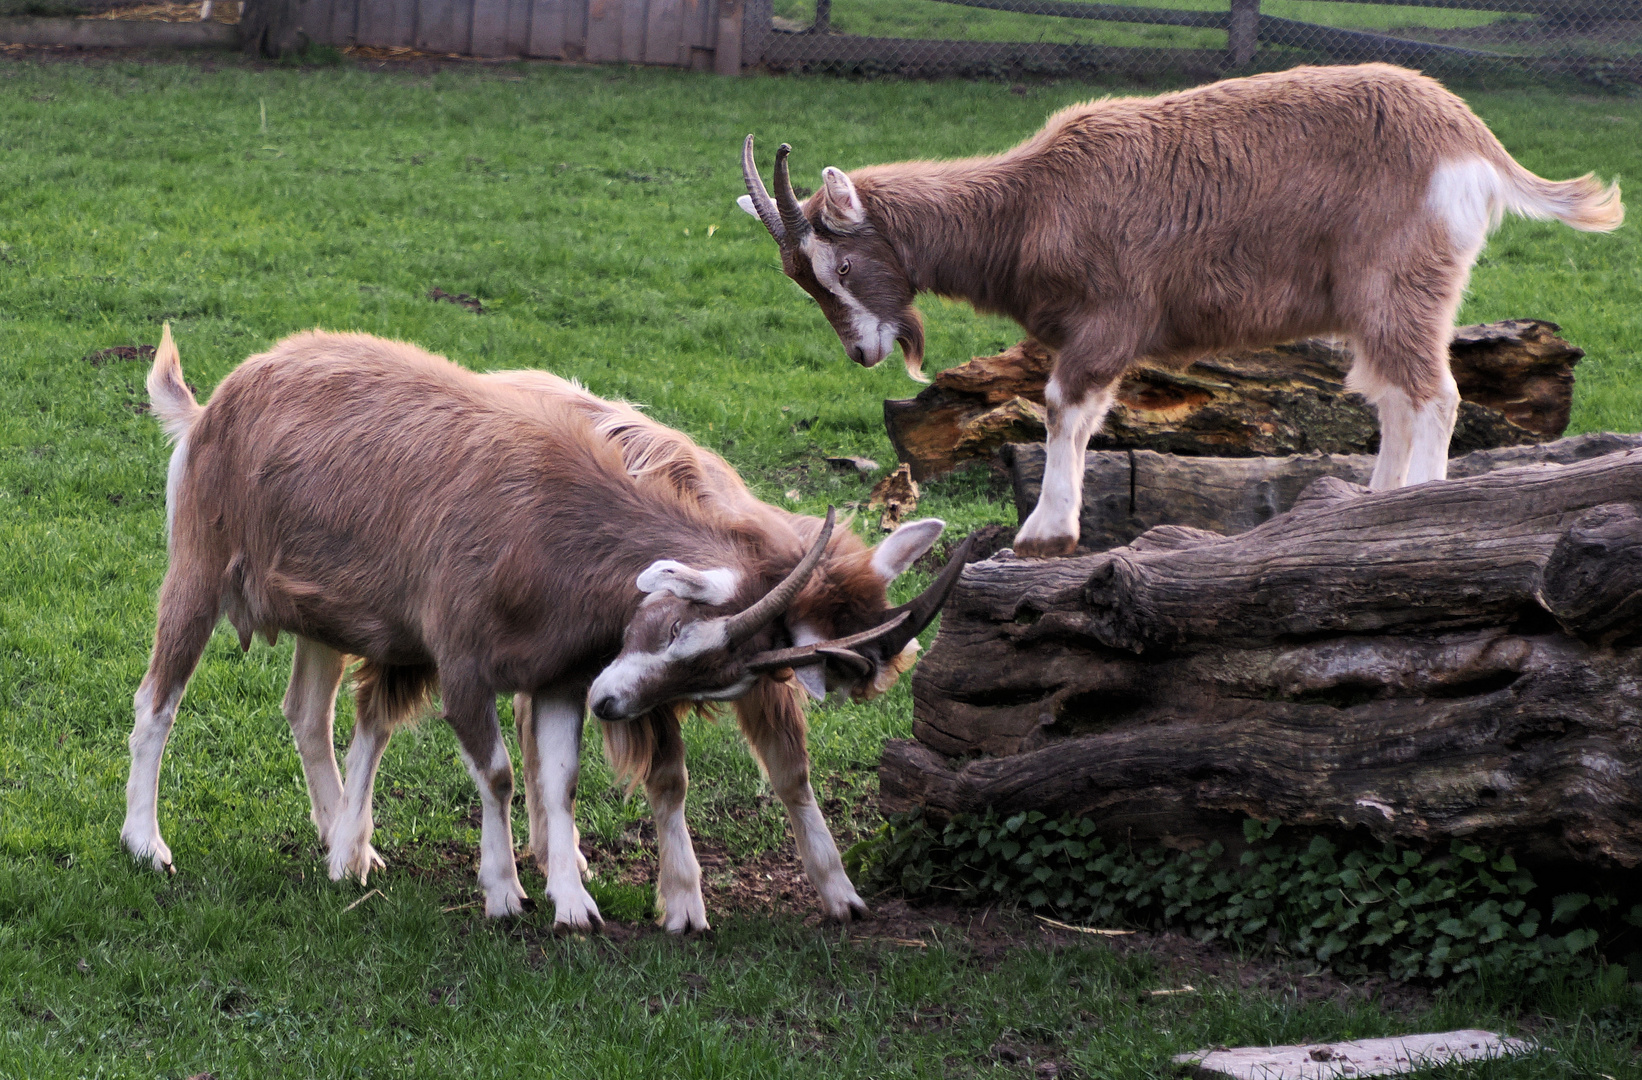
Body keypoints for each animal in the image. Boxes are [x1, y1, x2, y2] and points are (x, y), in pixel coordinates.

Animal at [131, 326, 972, 925]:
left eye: (718, 678)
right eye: (675, 626)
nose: (611, 703)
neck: (547, 521)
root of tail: (212, 407)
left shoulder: (564, 679)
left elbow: (571, 778)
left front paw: (578, 902)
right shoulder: (464, 665)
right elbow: (502, 772)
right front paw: (508, 895)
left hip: (328, 618)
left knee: (312, 713)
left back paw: (347, 849)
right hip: (201, 568)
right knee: (157, 702)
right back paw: (149, 846)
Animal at [738, 63, 1622, 554]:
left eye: (841, 263)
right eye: (803, 280)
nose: (862, 354)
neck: (1030, 202)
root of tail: (1473, 139)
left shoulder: (1108, 320)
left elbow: (1063, 410)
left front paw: (1046, 533)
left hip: (1403, 281)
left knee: (1433, 393)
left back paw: (1416, 512)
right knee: (1394, 396)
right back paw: (1372, 504)